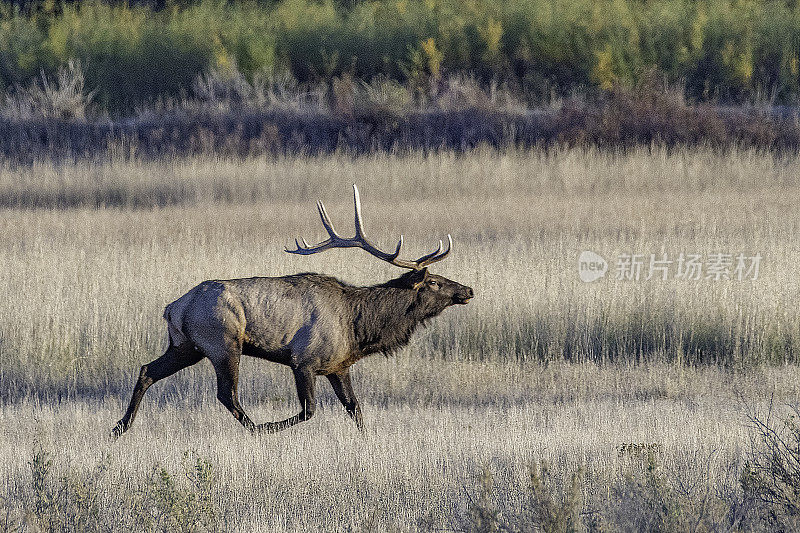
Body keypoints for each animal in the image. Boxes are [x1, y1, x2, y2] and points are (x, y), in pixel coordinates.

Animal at [113, 184, 476, 436]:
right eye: (435, 282)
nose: (468, 290)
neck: (357, 328)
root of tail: (174, 307)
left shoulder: (338, 366)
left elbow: (355, 408)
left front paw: (367, 440)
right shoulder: (304, 360)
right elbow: (309, 410)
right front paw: (272, 427)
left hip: (186, 346)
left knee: (147, 371)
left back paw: (120, 427)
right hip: (222, 343)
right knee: (227, 394)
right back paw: (256, 429)